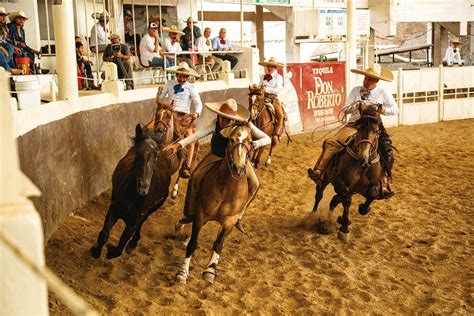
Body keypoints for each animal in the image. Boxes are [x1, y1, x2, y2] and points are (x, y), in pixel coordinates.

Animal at [89, 108, 180, 260]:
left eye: (156, 156)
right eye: (137, 154)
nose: (143, 187)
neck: (133, 196)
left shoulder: (136, 219)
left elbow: (123, 241)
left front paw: (113, 250)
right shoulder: (114, 207)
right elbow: (104, 233)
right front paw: (95, 250)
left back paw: (133, 244)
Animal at [175, 124, 256, 286]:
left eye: (250, 142)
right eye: (231, 139)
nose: (238, 168)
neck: (227, 187)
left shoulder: (230, 221)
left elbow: (218, 244)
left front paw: (210, 271)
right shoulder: (201, 214)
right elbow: (193, 243)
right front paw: (182, 273)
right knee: (189, 219)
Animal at [312, 103, 386, 242]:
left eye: (376, 130)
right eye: (359, 128)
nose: (363, 157)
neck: (363, 166)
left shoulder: (372, 185)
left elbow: (372, 194)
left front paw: (362, 209)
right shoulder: (341, 183)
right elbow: (346, 201)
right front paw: (344, 229)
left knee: (334, 200)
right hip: (325, 178)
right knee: (319, 194)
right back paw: (313, 216)